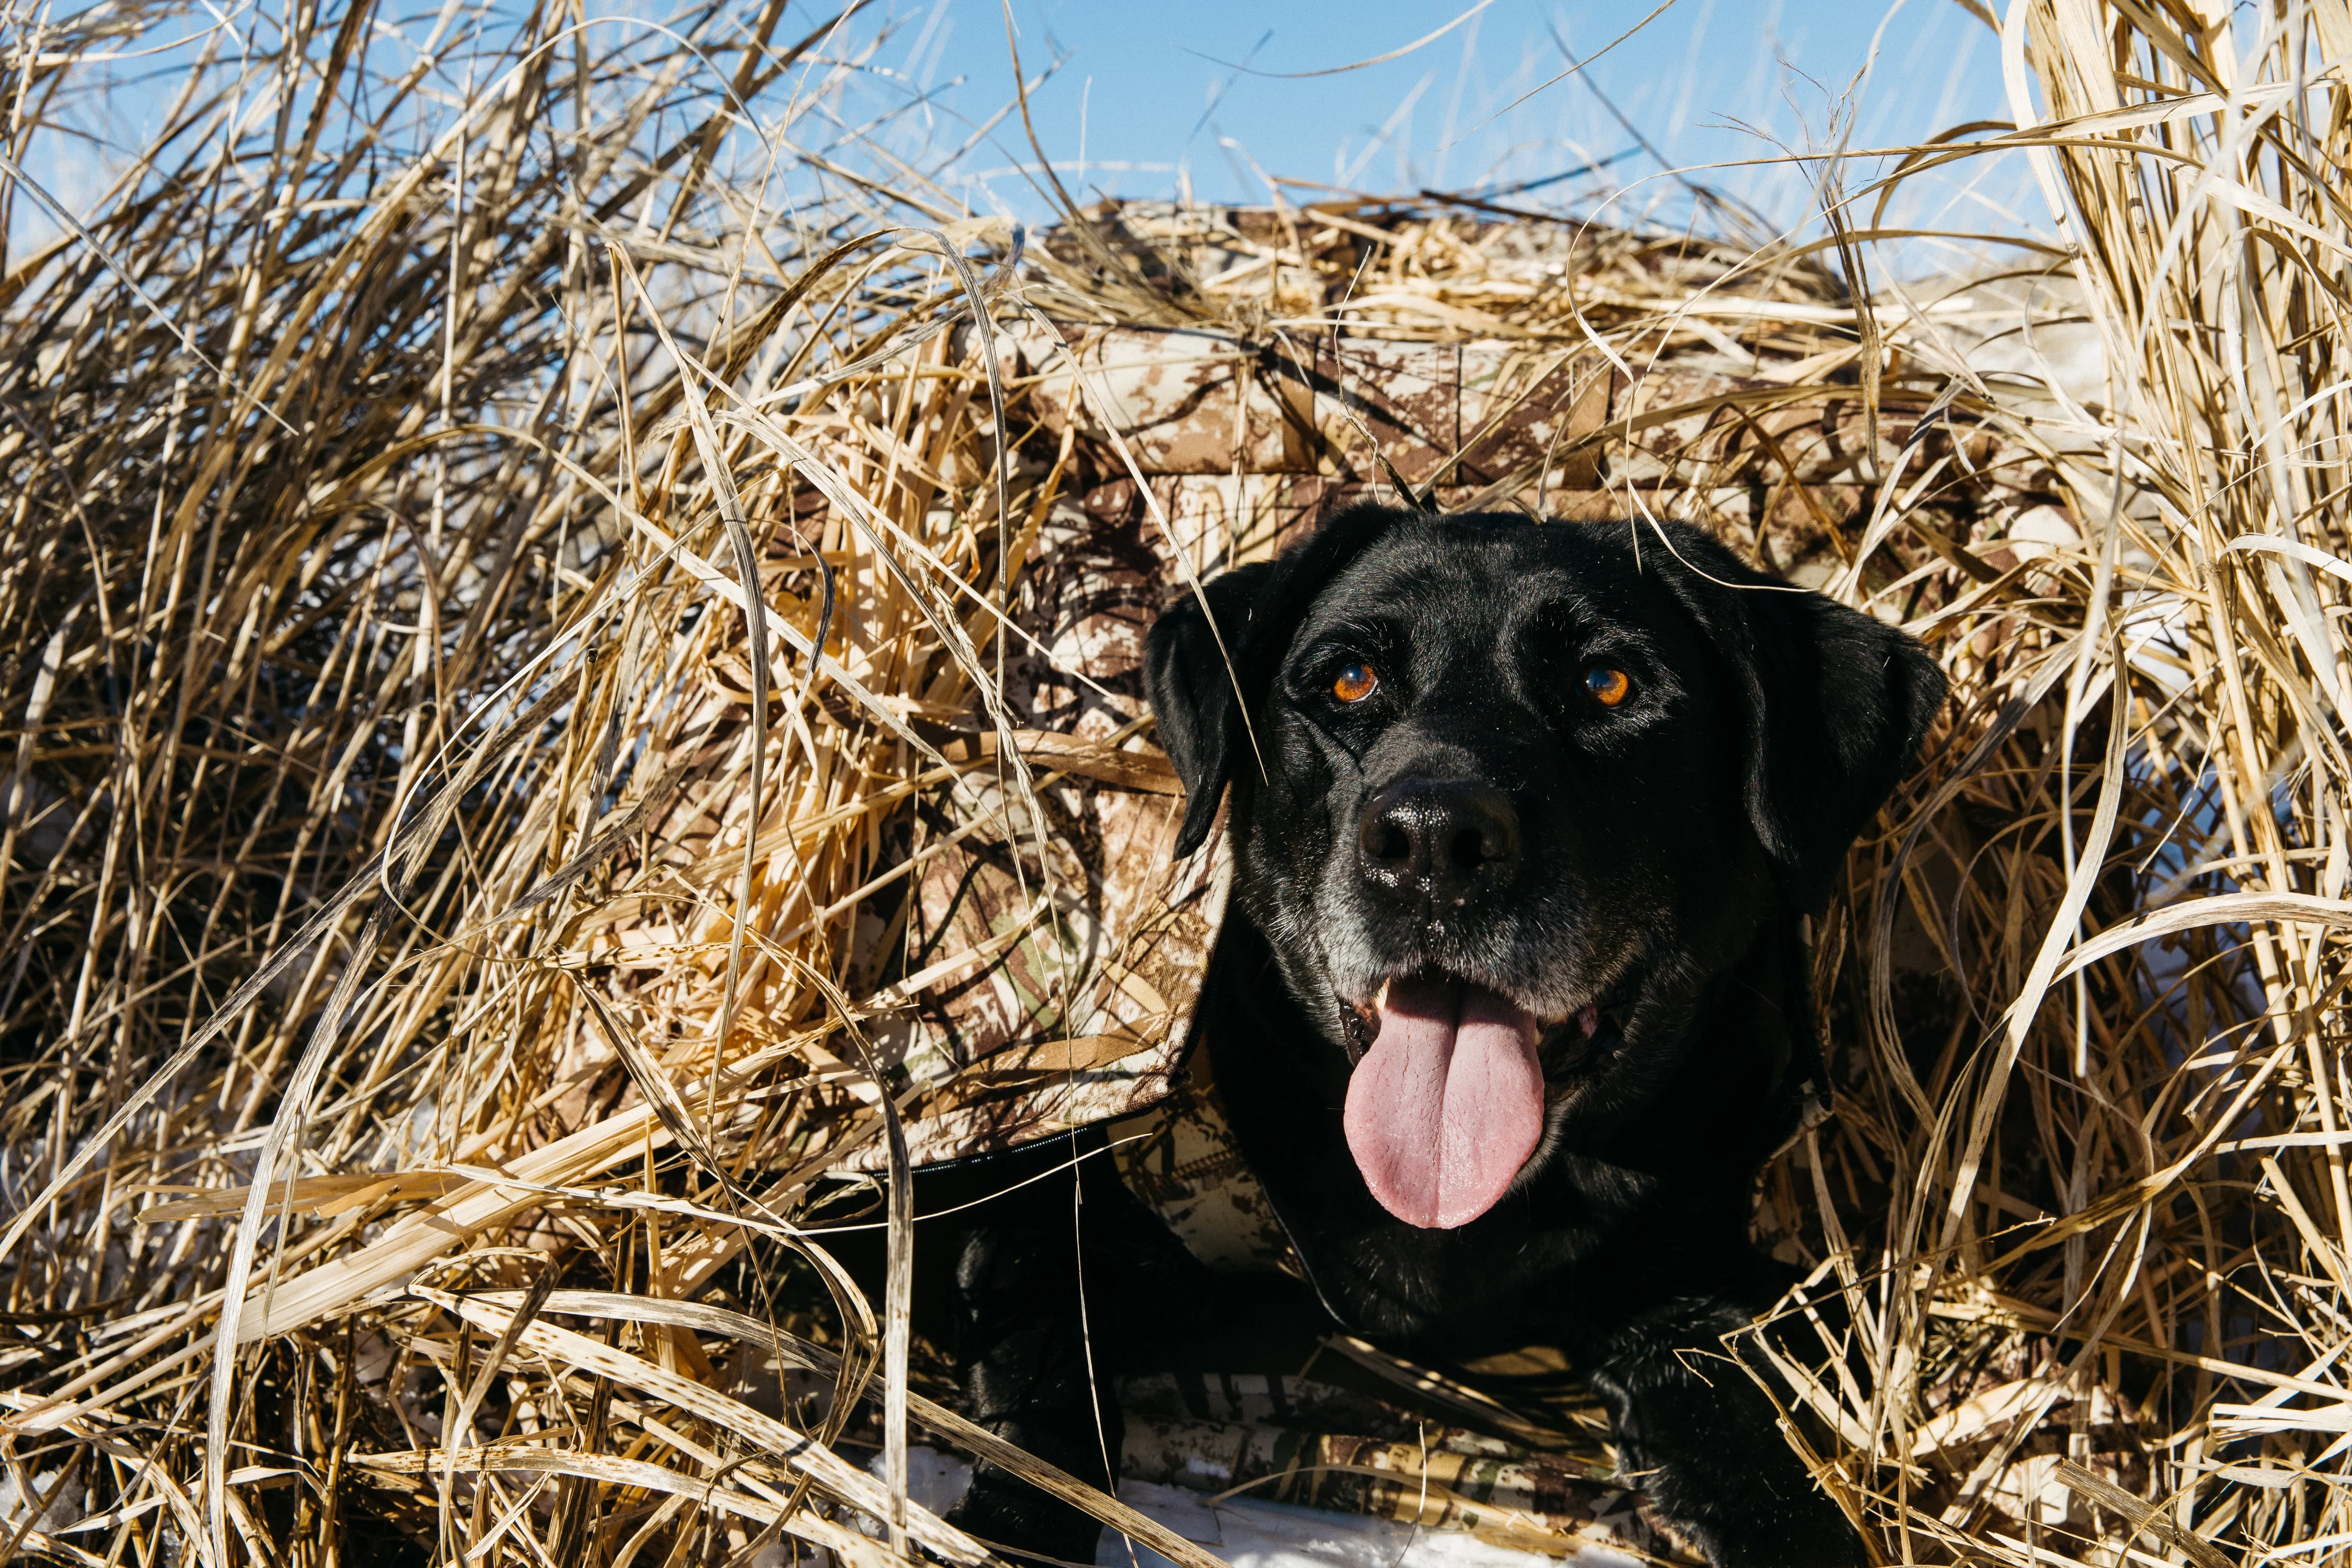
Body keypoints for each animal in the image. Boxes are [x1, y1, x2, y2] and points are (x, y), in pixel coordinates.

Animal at [875, 512, 1938, 1568]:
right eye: (1349, 679)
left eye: (1609, 683)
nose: (1434, 841)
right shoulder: (1041, 1236)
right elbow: (1038, 1413)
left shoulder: (1694, 1299)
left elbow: (1777, 1480)